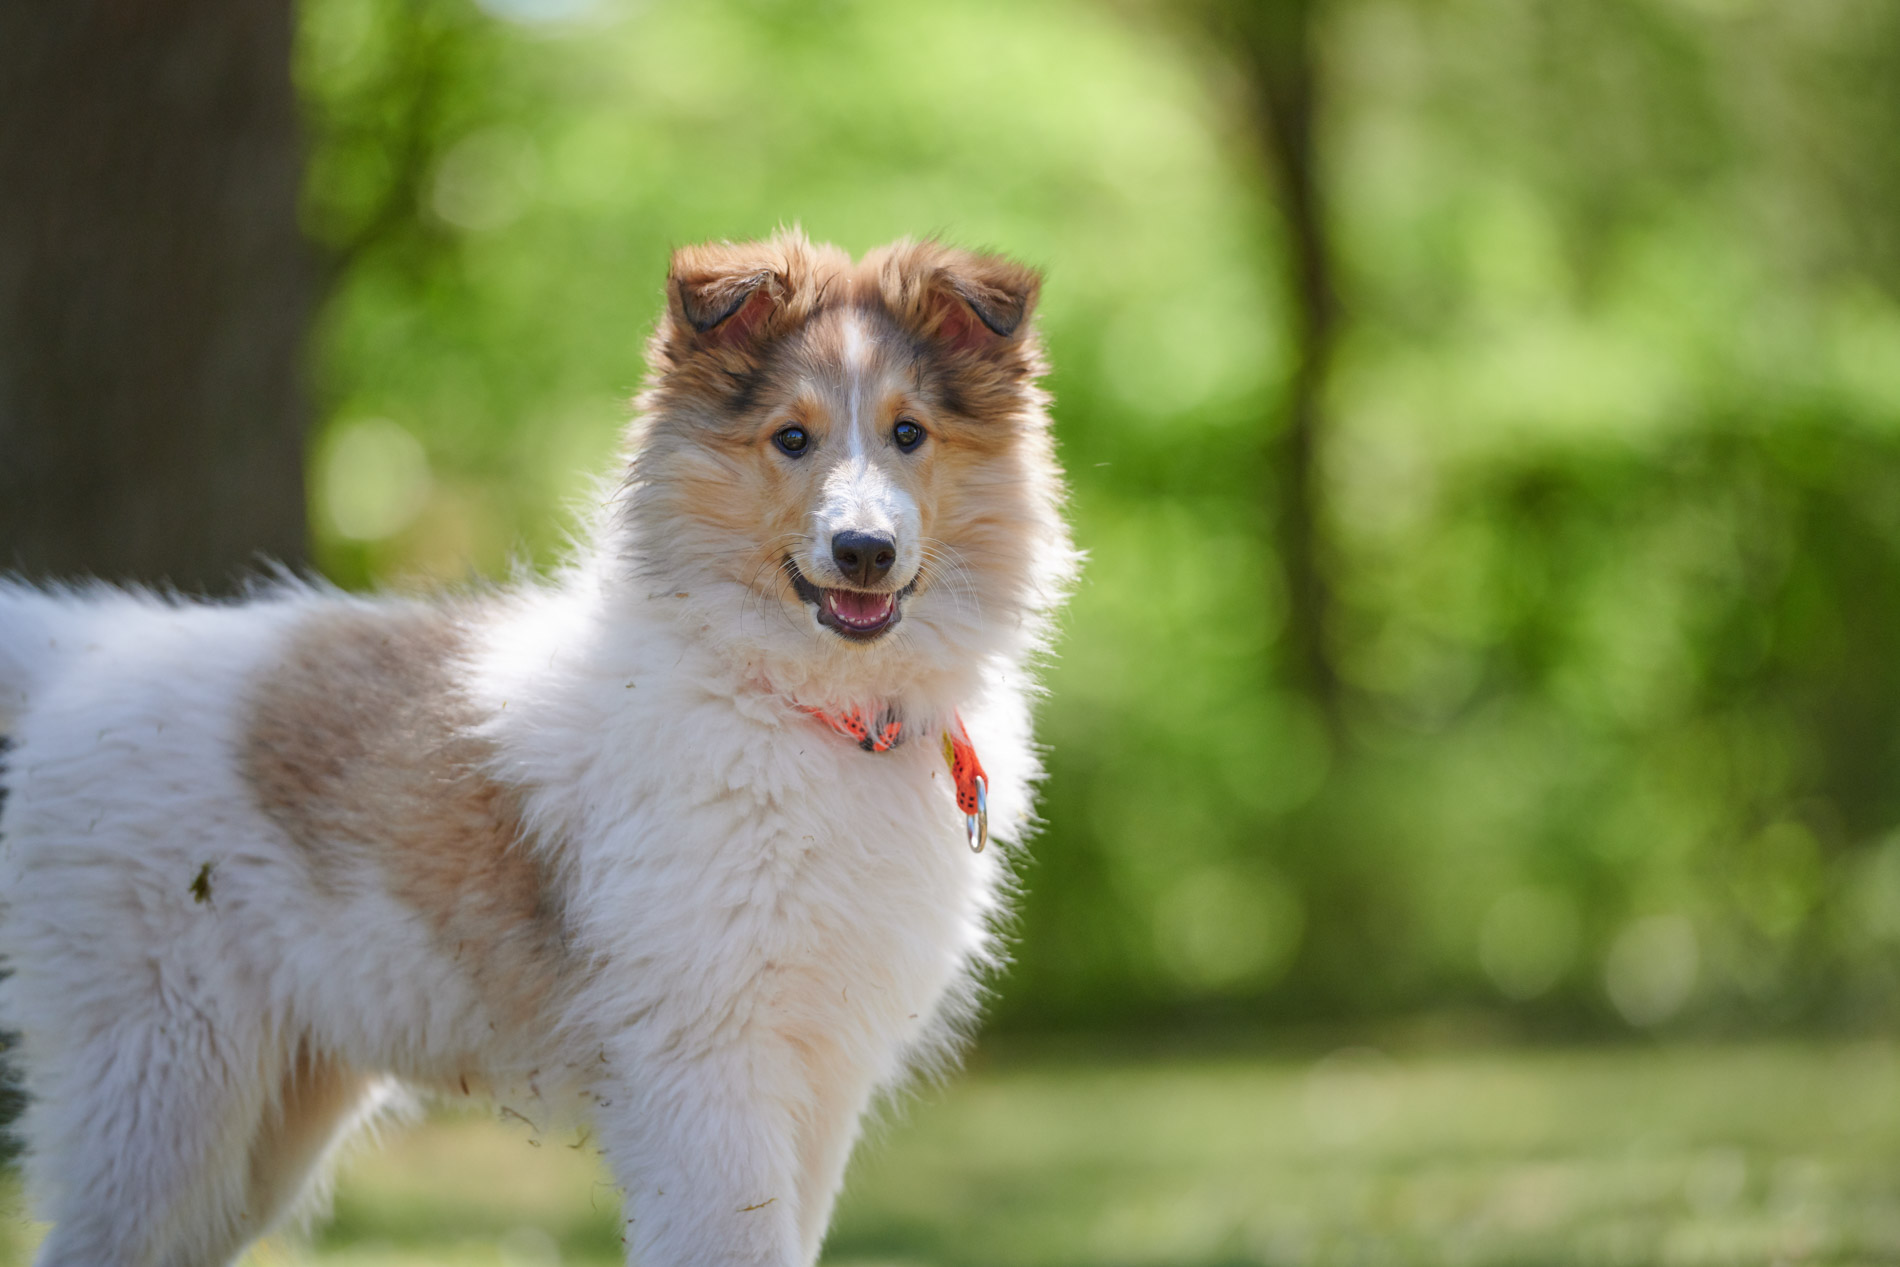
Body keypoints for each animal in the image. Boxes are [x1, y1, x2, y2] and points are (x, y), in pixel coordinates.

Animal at [0, 230, 1079, 1267]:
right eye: (791, 438)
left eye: (909, 433)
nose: (863, 552)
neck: (802, 706)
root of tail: (85, 649)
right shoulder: (709, 1059)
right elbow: (731, 1243)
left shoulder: (817, 1078)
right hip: (163, 1075)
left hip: (261, 1125)